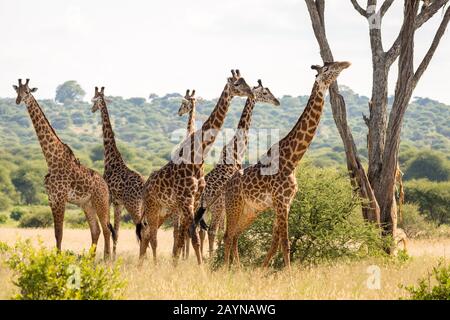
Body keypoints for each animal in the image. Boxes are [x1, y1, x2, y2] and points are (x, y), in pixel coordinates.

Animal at [13, 79, 113, 260]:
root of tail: (106, 186)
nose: (18, 100)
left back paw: (106, 259)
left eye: (28, 92)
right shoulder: (51, 199)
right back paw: (90, 259)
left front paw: (58, 259)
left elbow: (60, 232)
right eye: (18, 91)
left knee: (106, 229)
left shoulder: (60, 198)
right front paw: (57, 257)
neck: (51, 160)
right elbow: (55, 233)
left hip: (100, 202)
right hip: (87, 204)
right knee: (96, 230)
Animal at [91, 87, 146, 258]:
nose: (92, 109)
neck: (111, 157)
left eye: (94, 100)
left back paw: (142, 258)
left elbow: (108, 228)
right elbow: (116, 231)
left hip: (134, 206)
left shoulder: (109, 199)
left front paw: (107, 256)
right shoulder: (118, 203)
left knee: (142, 230)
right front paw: (113, 257)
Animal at [136, 69, 253, 264]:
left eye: (246, 81)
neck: (198, 157)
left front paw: (184, 265)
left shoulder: (195, 200)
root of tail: (144, 188)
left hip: (163, 210)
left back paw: (142, 265)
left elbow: (187, 235)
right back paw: (152, 264)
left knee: (147, 234)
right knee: (151, 235)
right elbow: (193, 236)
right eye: (237, 84)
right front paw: (200, 268)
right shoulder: (186, 200)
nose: (251, 92)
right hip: (153, 208)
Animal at [191, 80, 282, 258]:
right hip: (216, 206)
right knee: (211, 231)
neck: (237, 150)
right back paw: (210, 258)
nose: (277, 101)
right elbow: (225, 230)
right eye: (265, 93)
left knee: (200, 230)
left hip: (204, 209)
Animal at [223, 60, 350, 270]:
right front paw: (287, 273)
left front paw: (262, 271)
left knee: (235, 235)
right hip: (234, 205)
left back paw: (237, 270)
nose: (346, 63)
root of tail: (227, 185)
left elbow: (275, 241)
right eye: (327, 69)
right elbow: (285, 241)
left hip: (251, 210)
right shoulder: (281, 201)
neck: (292, 160)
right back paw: (225, 269)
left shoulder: (286, 202)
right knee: (227, 235)